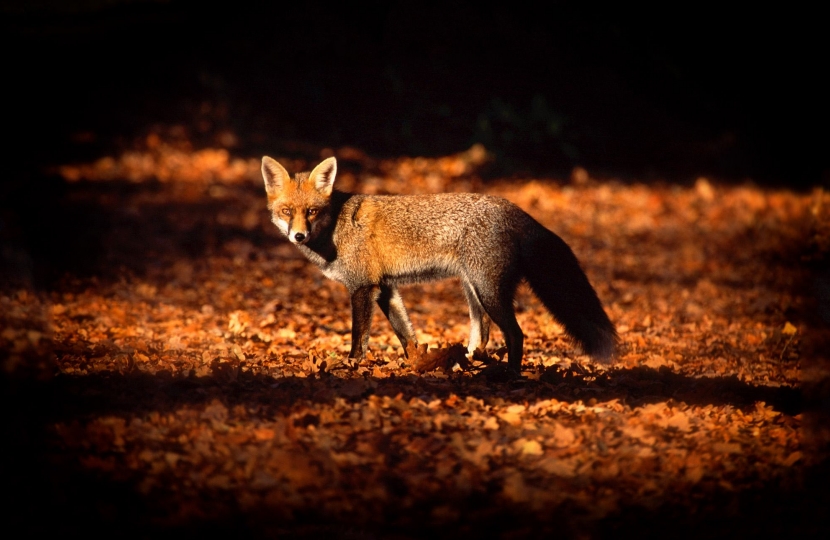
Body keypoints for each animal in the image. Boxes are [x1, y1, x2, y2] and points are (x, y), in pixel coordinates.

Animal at [261, 156, 616, 373]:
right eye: (286, 211)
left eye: (311, 211)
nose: (298, 235)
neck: (336, 227)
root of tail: (514, 208)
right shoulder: (386, 287)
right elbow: (406, 335)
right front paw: (416, 364)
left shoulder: (363, 286)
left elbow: (358, 336)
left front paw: (352, 365)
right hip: (472, 289)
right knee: (482, 333)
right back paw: (469, 363)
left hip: (488, 291)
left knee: (515, 334)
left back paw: (508, 375)